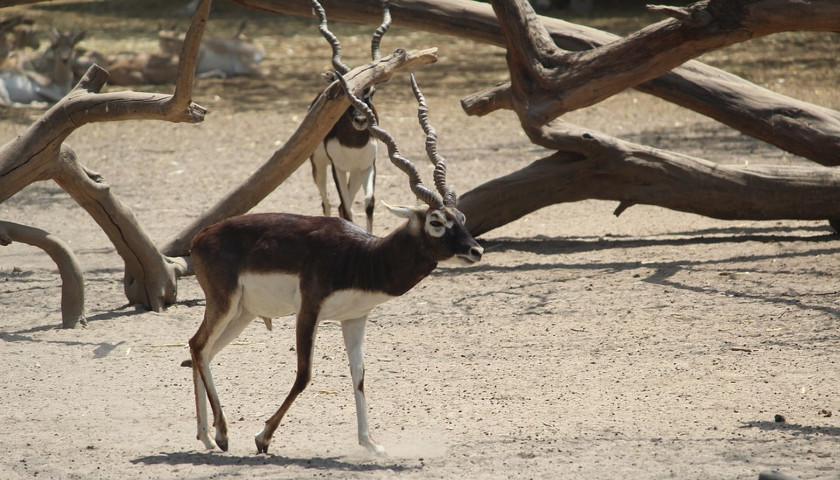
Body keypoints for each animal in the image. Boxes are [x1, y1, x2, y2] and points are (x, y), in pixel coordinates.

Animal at [187, 66, 482, 454]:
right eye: (436, 222)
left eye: (461, 217)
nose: (475, 250)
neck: (361, 258)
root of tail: (200, 237)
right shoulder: (309, 310)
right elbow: (304, 375)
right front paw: (263, 437)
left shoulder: (354, 318)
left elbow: (359, 377)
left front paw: (371, 444)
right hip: (224, 304)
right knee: (198, 345)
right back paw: (221, 434)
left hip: (243, 313)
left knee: (202, 351)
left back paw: (207, 436)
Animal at [308, 0, 390, 232]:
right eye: (346, 93)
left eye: (371, 92)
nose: (361, 120)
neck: (353, 143)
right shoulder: (338, 168)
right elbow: (346, 207)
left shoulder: (368, 165)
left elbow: (369, 203)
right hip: (319, 166)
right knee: (327, 201)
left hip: (354, 173)